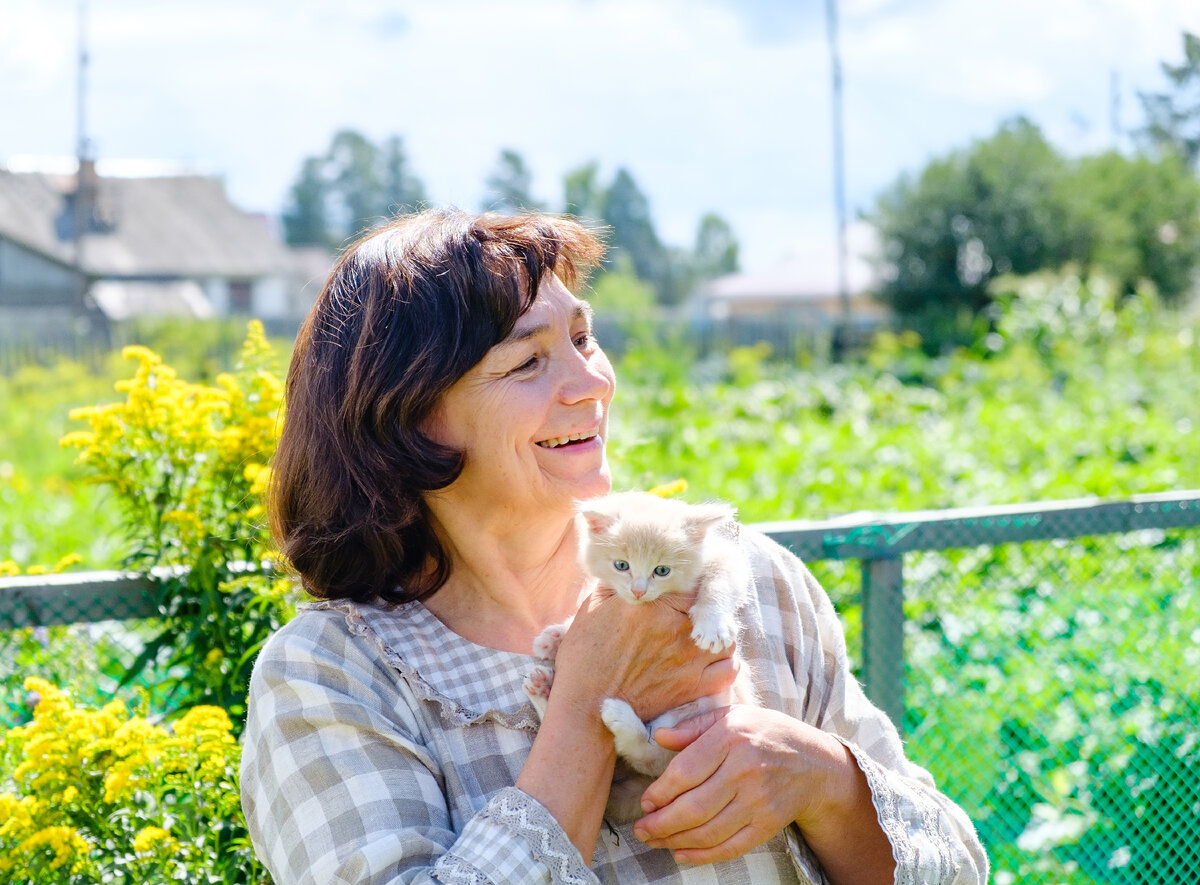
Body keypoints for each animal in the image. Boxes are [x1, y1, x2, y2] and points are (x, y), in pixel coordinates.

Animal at [523, 489, 753, 820]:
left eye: (662, 570)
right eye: (622, 565)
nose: (639, 591)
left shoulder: (725, 558)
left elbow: (720, 581)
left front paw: (713, 623)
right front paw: (555, 636)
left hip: (703, 709)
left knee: (653, 755)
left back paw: (622, 721)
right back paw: (543, 689)